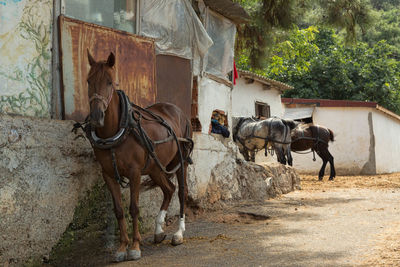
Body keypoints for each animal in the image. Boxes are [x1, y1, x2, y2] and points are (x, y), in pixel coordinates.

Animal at [86, 51, 194, 262]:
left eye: (110, 82)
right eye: (88, 81)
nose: (96, 116)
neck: (117, 130)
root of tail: (178, 112)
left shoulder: (134, 172)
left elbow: (134, 208)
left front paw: (135, 247)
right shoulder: (108, 175)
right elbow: (119, 210)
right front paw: (121, 247)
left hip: (181, 161)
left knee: (181, 192)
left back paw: (179, 233)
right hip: (155, 167)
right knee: (169, 190)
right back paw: (159, 230)